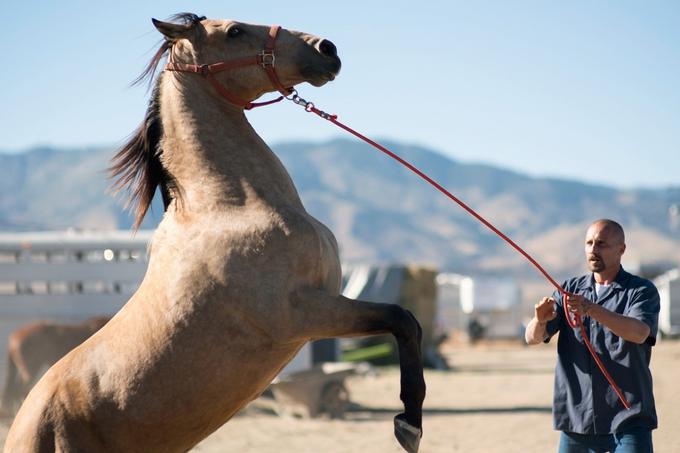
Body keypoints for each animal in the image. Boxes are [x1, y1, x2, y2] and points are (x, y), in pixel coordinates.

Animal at [5, 14, 424, 452]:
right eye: (235, 30)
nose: (327, 49)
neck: (229, 206)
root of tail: (21, 427)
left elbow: (407, 322)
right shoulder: (302, 312)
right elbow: (401, 319)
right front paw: (408, 424)